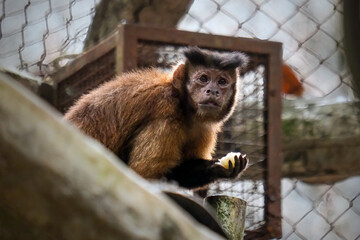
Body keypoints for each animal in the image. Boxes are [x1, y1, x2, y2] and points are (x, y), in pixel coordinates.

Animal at [64, 47, 249, 188]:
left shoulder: (203, 129)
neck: (183, 106)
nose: (213, 91)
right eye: (203, 78)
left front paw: (219, 168)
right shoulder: (166, 115)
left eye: (222, 81)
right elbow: (144, 177)